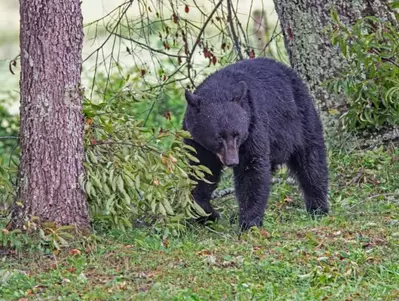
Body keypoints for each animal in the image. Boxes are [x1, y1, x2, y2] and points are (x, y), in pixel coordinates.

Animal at [183, 56, 330, 230]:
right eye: (218, 137)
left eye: (237, 134)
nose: (232, 161)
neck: (219, 89)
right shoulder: (195, 141)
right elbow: (201, 172)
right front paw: (208, 214)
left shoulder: (253, 125)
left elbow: (251, 170)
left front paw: (249, 222)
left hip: (301, 120)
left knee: (311, 161)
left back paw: (318, 207)